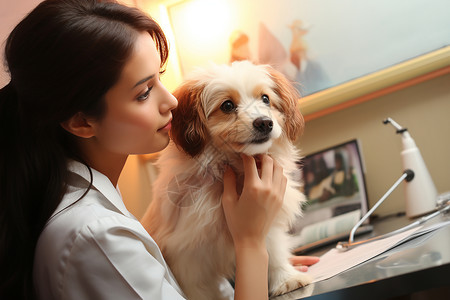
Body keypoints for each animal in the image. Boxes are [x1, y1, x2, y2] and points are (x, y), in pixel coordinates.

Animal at [142, 59, 312, 298]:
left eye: (266, 99)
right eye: (227, 106)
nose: (264, 122)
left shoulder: (267, 229)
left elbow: (274, 252)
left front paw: (286, 278)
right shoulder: (188, 261)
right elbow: (199, 291)